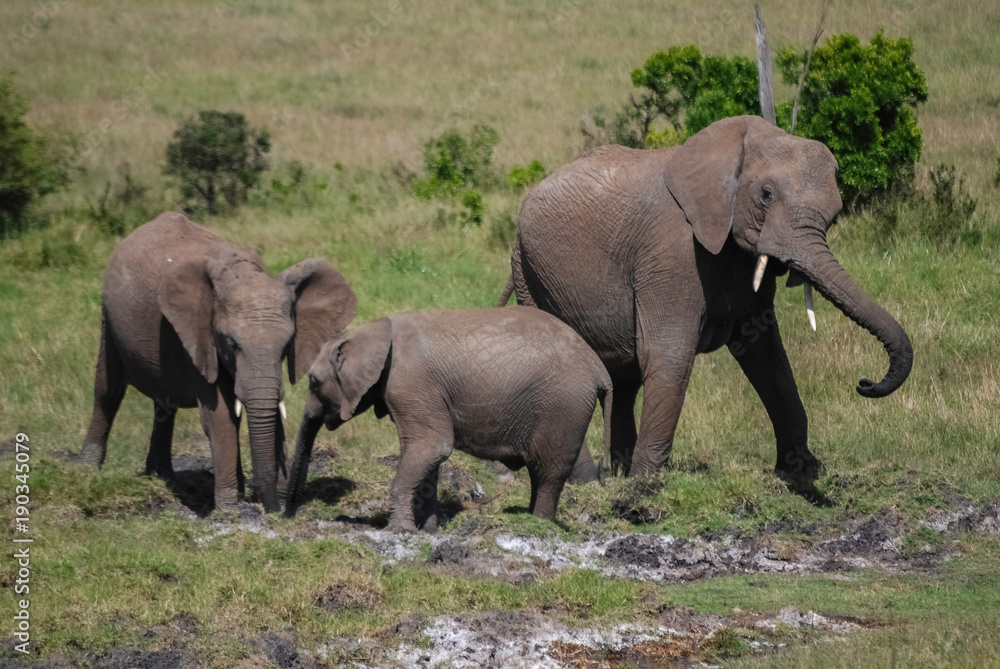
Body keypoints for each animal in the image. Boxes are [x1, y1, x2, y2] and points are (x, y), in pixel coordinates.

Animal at [77, 212, 357, 512]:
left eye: (287, 345)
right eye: (230, 343)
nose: (275, 509)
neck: (243, 273)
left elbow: (264, 411)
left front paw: (265, 501)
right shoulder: (199, 335)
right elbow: (220, 414)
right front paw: (230, 509)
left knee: (164, 403)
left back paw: (160, 476)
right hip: (108, 316)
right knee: (107, 389)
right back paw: (86, 471)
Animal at [283, 307, 612, 532]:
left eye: (313, 381)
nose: (286, 516)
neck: (372, 331)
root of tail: (600, 369)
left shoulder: (407, 383)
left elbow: (432, 445)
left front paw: (398, 531)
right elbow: (428, 455)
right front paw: (428, 531)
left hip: (563, 407)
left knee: (548, 473)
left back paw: (537, 525)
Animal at [499, 115, 912, 482]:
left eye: (835, 214)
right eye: (765, 195)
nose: (864, 383)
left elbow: (766, 355)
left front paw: (802, 470)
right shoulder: (670, 253)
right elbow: (669, 354)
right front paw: (644, 486)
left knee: (624, 377)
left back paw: (617, 471)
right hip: (528, 271)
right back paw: (588, 480)